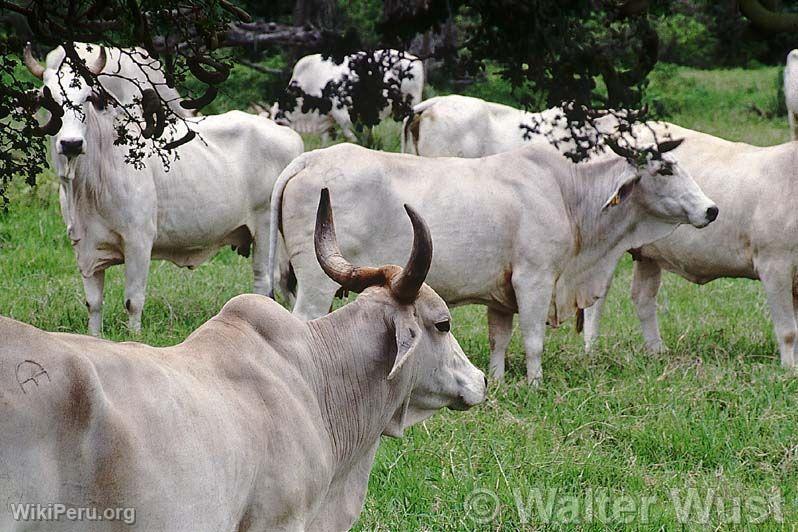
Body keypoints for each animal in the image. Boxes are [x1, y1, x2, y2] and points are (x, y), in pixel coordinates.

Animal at [25, 43, 304, 334]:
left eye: (87, 98)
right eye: (50, 101)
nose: (71, 143)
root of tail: (289, 135)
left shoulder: (138, 240)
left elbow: (133, 301)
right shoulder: (86, 247)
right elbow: (93, 304)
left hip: (264, 226)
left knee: (265, 281)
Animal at [268, 141, 720, 382]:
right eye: (664, 170)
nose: (712, 210)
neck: (568, 194)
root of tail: (311, 158)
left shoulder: (501, 295)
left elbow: (499, 339)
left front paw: (499, 380)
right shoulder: (535, 279)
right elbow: (534, 339)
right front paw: (536, 383)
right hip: (317, 284)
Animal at [272, 49, 424, 141]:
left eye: (277, 123)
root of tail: (414, 59)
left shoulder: (342, 114)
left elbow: (351, 135)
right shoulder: (326, 120)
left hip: (409, 104)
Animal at [584, 122, 798, 368]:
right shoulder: (774, 264)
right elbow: (788, 330)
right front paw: (789, 369)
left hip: (647, 252)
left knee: (643, 297)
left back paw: (657, 351)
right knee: (596, 301)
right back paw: (592, 352)